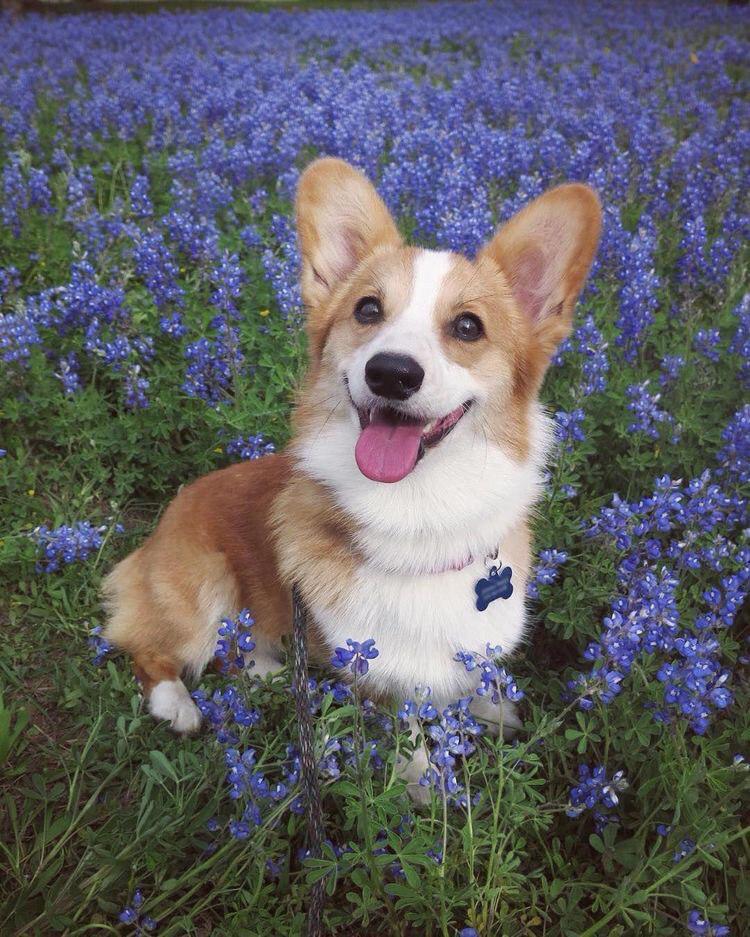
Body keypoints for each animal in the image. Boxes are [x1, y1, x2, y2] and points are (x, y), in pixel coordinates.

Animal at [103, 159, 604, 788]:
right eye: (368, 309)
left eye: (469, 327)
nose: (391, 372)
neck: (422, 511)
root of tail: (162, 525)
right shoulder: (380, 671)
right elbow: (410, 732)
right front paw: (421, 786)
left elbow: (473, 676)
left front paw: (493, 710)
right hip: (201, 587)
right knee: (151, 650)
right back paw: (180, 705)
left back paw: (267, 671)